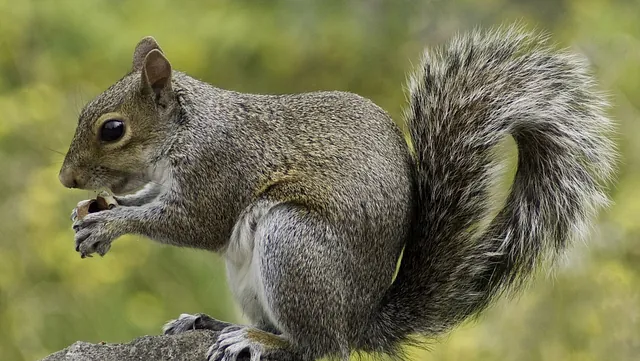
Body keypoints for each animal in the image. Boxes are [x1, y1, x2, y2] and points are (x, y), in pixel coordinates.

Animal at [58, 25, 616, 360]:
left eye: (113, 129)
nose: (66, 179)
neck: (187, 129)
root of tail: (359, 321)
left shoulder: (220, 168)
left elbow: (193, 222)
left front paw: (109, 223)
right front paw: (92, 211)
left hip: (292, 244)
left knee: (315, 345)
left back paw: (257, 339)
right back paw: (209, 323)